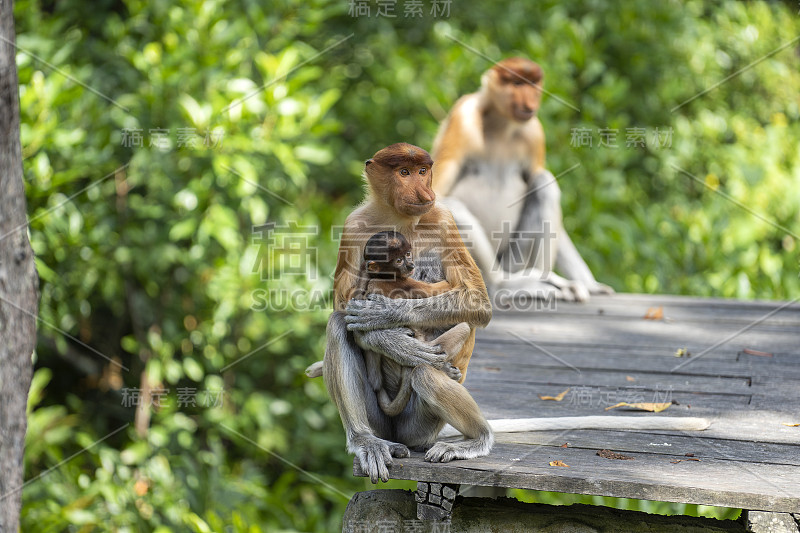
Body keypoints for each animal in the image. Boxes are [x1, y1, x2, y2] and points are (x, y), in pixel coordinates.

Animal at [432, 57, 612, 302]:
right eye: (517, 83)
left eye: (533, 84)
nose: (530, 100)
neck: (501, 124)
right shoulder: (463, 118)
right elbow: (435, 196)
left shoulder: (534, 132)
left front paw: (592, 285)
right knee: (450, 206)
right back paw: (500, 284)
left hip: (513, 260)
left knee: (544, 185)